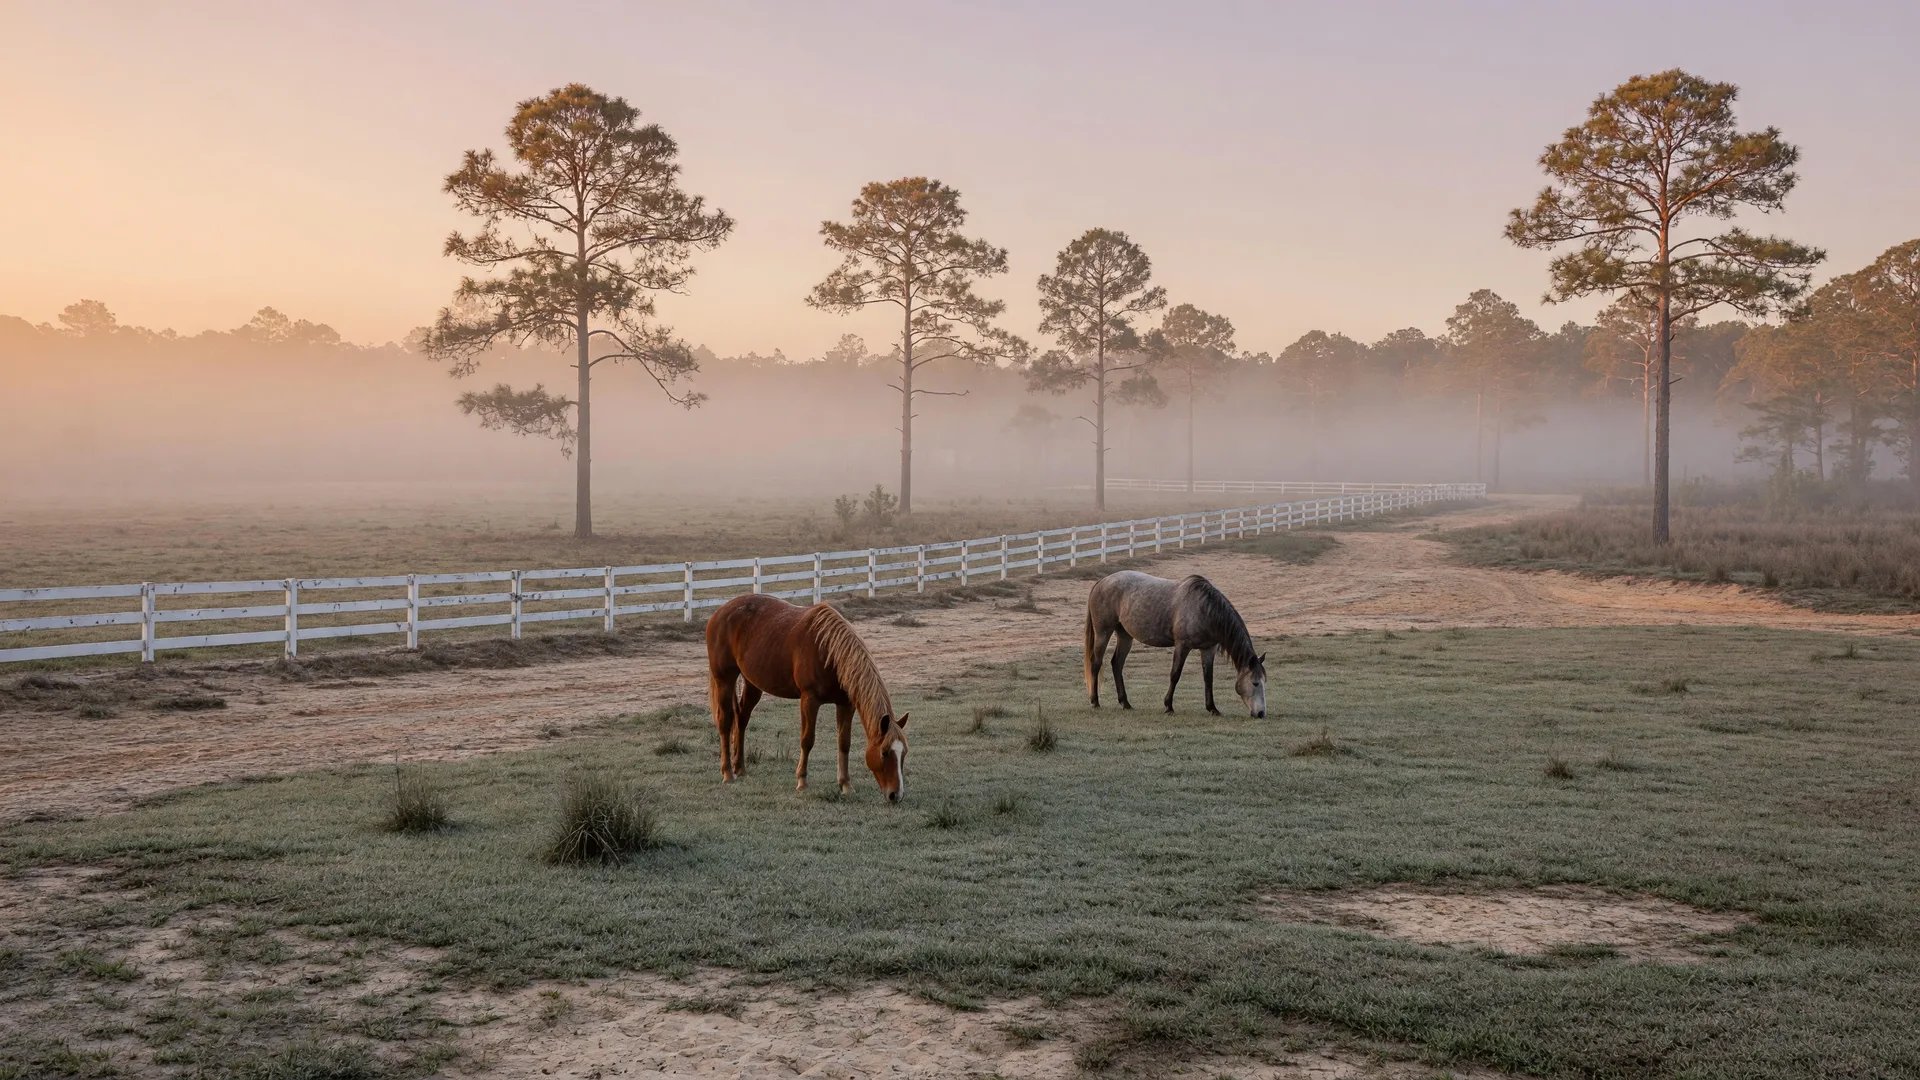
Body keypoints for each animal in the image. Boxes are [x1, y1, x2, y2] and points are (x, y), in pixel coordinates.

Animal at [704, 594, 909, 801]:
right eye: (884, 753)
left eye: (904, 753)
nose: (896, 795)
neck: (829, 651)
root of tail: (719, 612)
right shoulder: (809, 700)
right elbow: (807, 740)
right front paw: (802, 781)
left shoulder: (846, 704)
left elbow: (844, 743)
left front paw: (845, 784)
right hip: (725, 679)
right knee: (725, 722)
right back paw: (728, 773)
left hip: (752, 682)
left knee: (742, 719)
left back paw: (740, 769)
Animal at [1084, 571, 1267, 717]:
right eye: (1255, 683)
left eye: (1265, 682)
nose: (1260, 714)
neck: (1204, 608)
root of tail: (1102, 581)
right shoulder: (1182, 646)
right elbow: (1175, 675)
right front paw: (1168, 706)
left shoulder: (1208, 649)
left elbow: (1208, 678)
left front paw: (1212, 708)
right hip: (1103, 633)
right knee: (1096, 663)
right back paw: (1095, 701)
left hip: (1125, 636)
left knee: (1117, 664)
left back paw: (1125, 703)